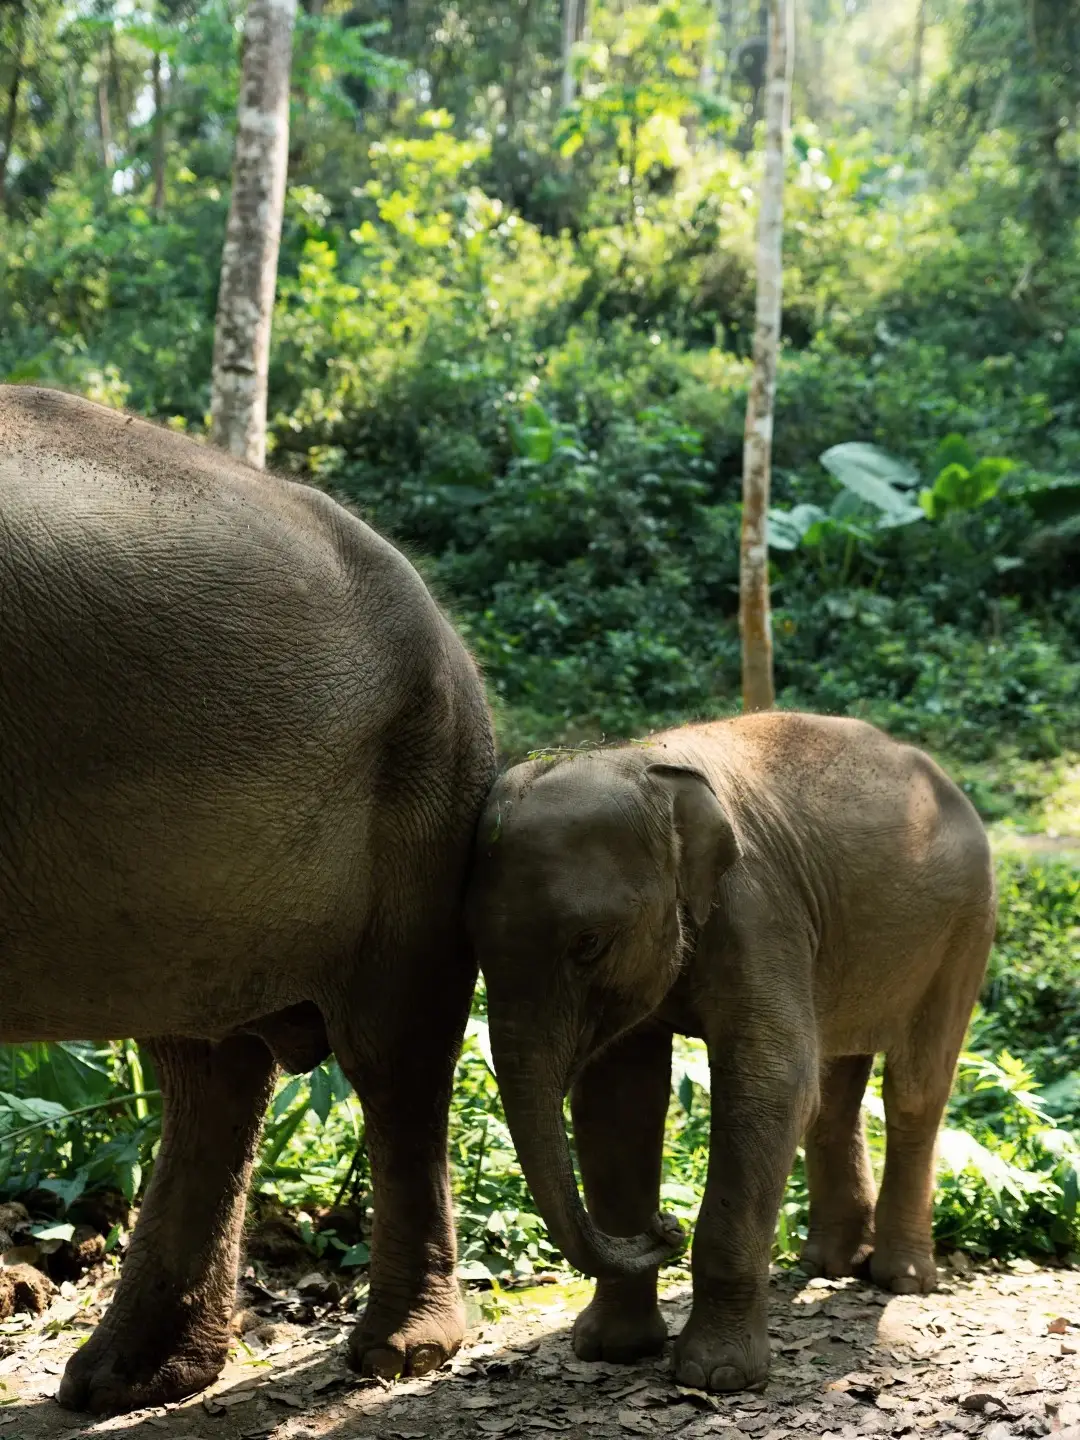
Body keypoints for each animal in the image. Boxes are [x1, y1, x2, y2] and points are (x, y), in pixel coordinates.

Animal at [465, 712, 995, 1394]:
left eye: (588, 944)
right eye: (470, 948)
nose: (665, 1225)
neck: (646, 767)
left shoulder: (758, 908)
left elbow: (771, 1083)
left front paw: (714, 1377)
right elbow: (618, 1105)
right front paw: (610, 1349)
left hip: (966, 926)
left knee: (913, 1091)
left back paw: (900, 1279)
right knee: (834, 1092)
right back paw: (827, 1263)